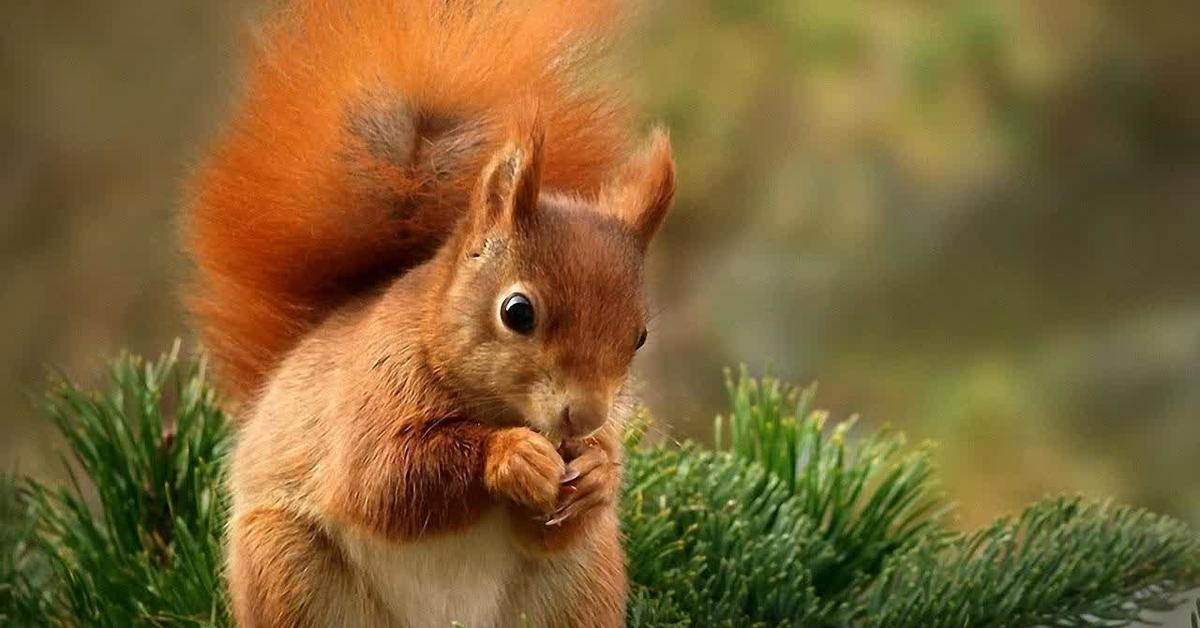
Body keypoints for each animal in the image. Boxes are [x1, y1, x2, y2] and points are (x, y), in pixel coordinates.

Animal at [186, 1, 676, 628]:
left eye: (639, 336)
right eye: (517, 312)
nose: (585, 417)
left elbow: (553, 526)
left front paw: (597, 475)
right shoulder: (370, 396)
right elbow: (383, 480)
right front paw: (511, 455)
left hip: (582, 584)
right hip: (284, 566)